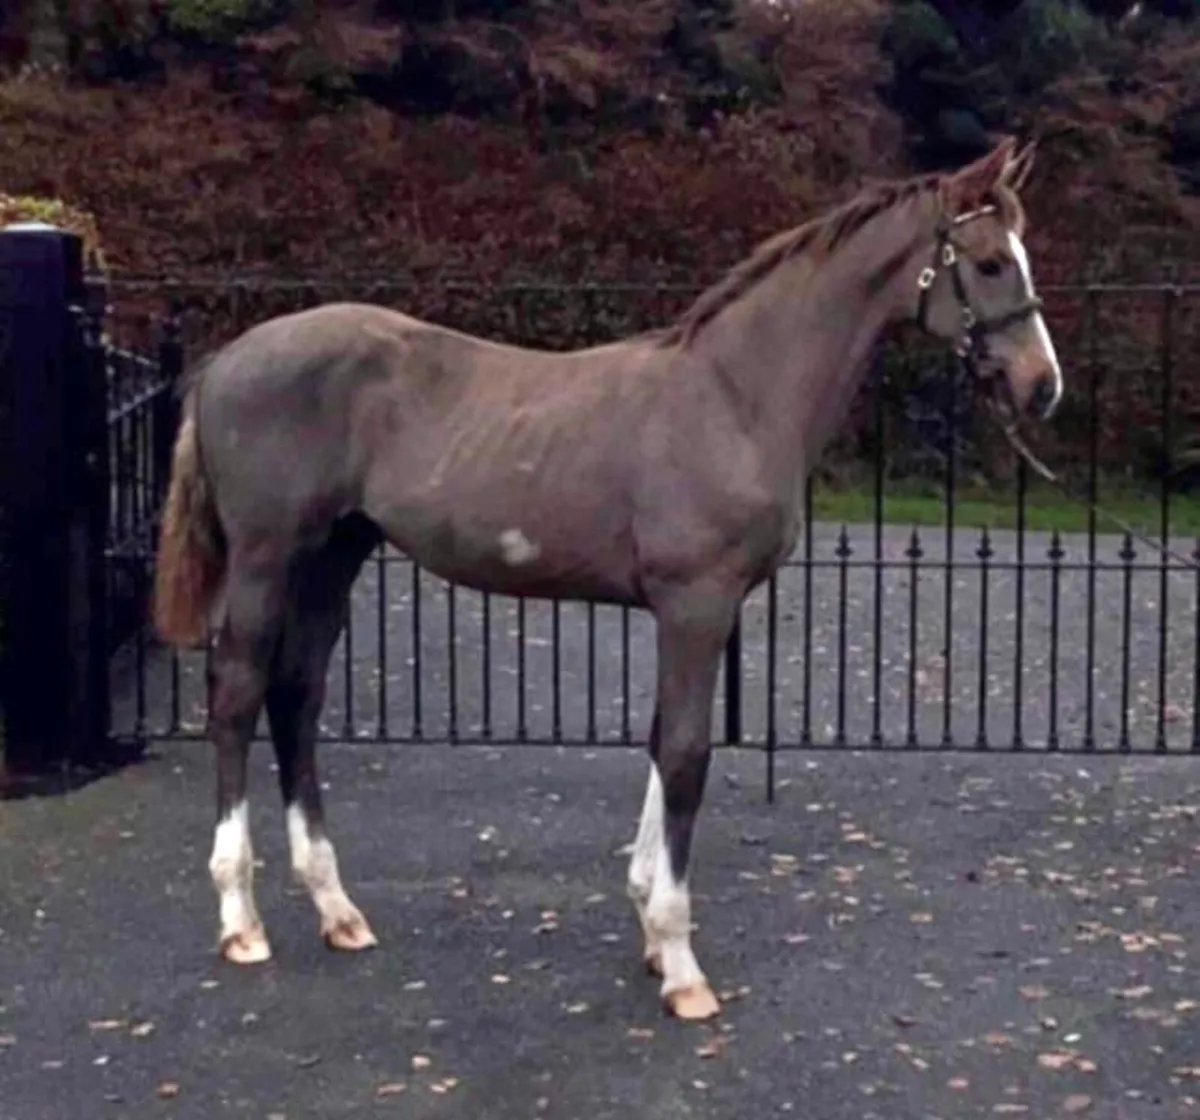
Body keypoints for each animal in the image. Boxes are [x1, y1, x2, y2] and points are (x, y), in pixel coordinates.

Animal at [152, 136, 1062, 1022]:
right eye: (988, 262)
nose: (1042, 386)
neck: (735, 396)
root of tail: (225, 362)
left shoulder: (688, 613)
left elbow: (662, 742)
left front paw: (652, 933)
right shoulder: (696, 606)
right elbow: (688, 755)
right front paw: (683, 967)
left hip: (333, 555)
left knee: (296, 698)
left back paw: (337, 910)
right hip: (268, 557)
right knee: (238, 696)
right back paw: (242, 921)